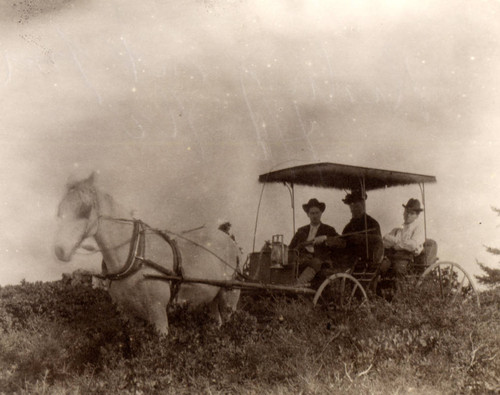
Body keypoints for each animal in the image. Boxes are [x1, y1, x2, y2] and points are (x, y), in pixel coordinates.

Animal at [53, 172, 241, 334]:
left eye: (85, 209)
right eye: (60, 210)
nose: (60, 250)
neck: (135, 256)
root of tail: (229, 240)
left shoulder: (158, 313)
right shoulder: (128, 315)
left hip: (229, 299)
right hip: (212, 299)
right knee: (216, 322)